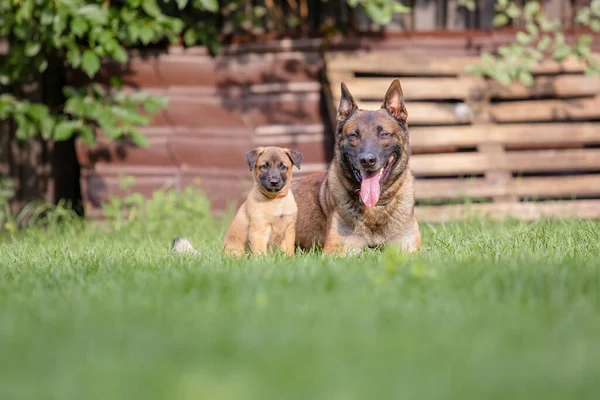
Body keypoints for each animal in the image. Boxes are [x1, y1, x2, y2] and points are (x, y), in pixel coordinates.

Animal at [290, 78, 422, 255]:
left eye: (384, 134)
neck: (375, 207)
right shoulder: (337, 251)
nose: (367, 160)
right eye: (353, 135)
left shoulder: (409, 249)